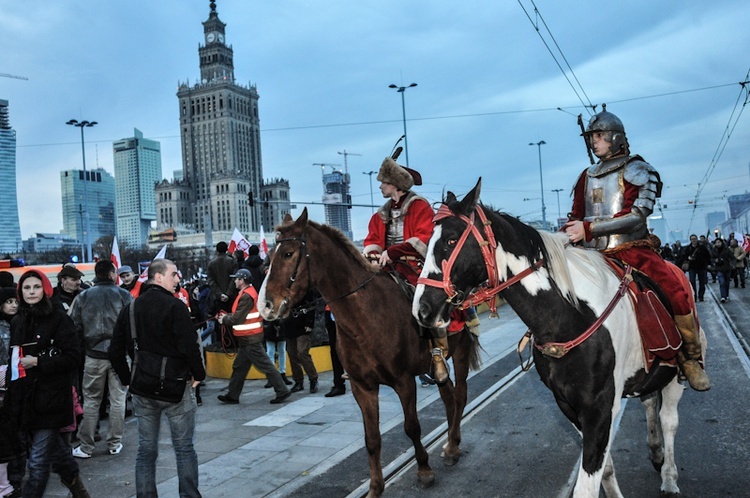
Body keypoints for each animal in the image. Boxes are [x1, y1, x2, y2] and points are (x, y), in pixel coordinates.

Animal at [258, 208, 482, 496]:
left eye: (287, 254)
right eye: (269, 257)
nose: (265, 306)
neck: (365, 315)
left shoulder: (403, 381)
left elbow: (412, 427)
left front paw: (424, 469)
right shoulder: (362, 386)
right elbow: (372, 438)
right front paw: (376, 486)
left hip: (462, 348)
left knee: (461, 395)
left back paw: (453, 446)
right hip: (437, 367)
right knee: (449, 396)